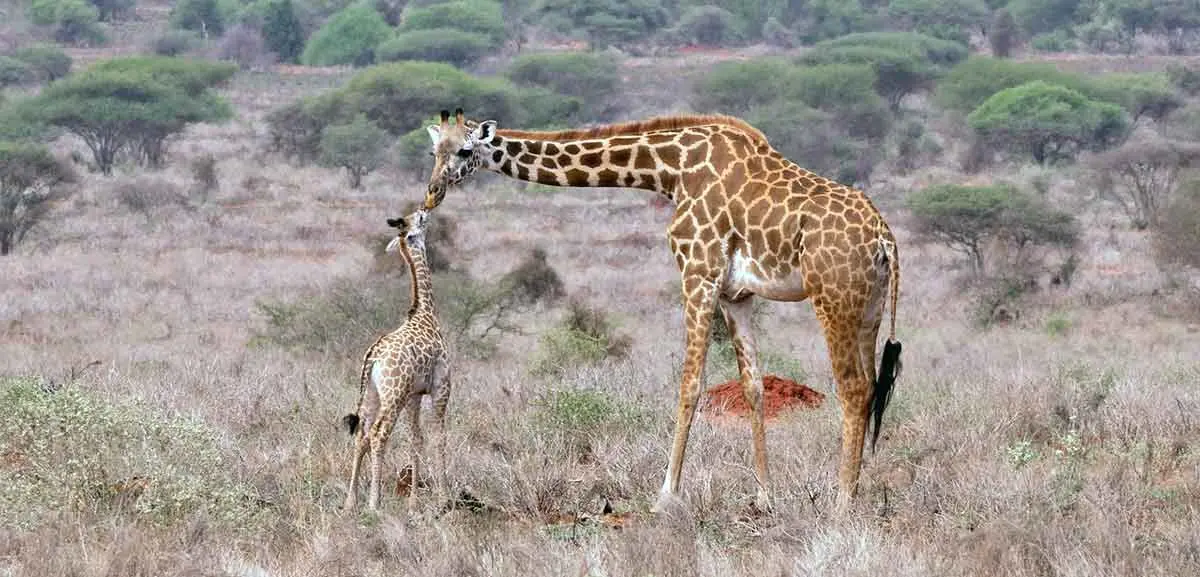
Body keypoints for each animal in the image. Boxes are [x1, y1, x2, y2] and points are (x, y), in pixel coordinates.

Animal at [343, 207, 451, 513]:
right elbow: (438, 437)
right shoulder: (441, 388)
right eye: (420, 220)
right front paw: (442, 500)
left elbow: (416, 439)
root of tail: (373, 356)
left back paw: (351, 501)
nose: (426, 210)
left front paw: (414, 502)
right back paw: (374, 502)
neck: (425, 312)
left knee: (361, 435)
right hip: (393, 395)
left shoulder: (415, 394)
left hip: (372, 395)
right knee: (379, 434)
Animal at [427, 107, 902, 513]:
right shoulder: (735, 294)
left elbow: (689, 384)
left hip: (833, 298)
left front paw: (666, 494)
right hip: (869, 307)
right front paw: (765, 496)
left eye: (465, 151)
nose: (432, 194)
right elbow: (753, 387)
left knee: (853, 388)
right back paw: (855, 492)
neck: (671, 169)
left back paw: (842, 502)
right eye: (434, 152)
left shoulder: (697, 272)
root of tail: (884, 236)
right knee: (870, 386)